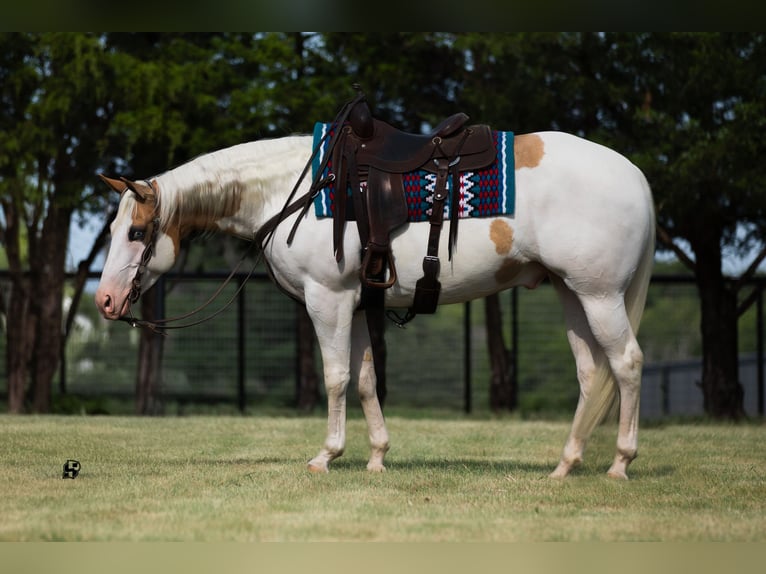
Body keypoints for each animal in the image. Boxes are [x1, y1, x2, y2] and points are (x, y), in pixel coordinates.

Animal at [94, 126, 656, 482]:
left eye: (137, 232)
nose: (104, 300)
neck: (290, 192)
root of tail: (636, 176)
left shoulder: (327, 300)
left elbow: (336, 377)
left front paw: (327, 455)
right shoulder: (359, 303)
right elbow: (365, 378)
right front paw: (377, 457)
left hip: (599, 295)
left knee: (627, 364)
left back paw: (620, 463)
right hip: (572, 293)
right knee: (592, 373)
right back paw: (566, 464)